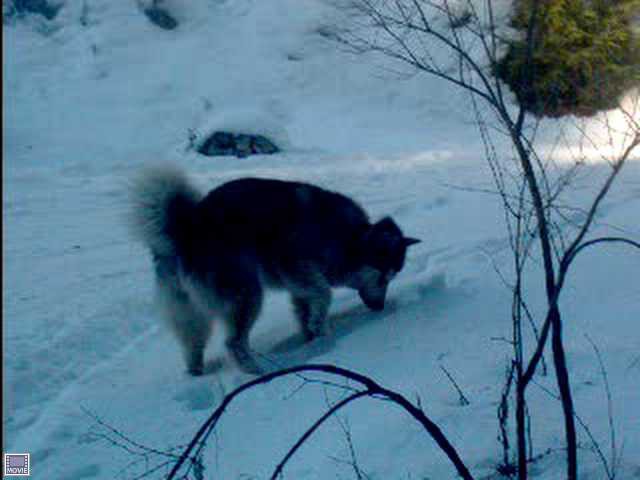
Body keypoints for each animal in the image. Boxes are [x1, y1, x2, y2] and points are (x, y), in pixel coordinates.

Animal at [129, 165, 420, 376]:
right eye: (383, 278)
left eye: (392, 278)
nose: (380, 308)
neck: (349, 238)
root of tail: (186, 228)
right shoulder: (293, 264)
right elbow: (324, 294)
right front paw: (320, 330)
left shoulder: (299, 285)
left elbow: (306, 310)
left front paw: (315, 339)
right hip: (247, 294)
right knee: (234, 342)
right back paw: (257, 372)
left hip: (190, 312)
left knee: (193, 344)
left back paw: (197, 373)